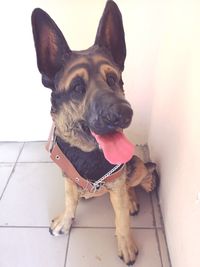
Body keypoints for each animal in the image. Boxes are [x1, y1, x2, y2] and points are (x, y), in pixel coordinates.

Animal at [31, 0, 157, 266]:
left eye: (113, 79)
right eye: (77, 88)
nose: (124, 113)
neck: (88, 154)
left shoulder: (117, 180)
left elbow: (122, 219)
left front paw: (126, 243)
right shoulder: (67, 177)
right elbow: (70, 200)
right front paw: (66, 220)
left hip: (135, 168)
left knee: (134, 182)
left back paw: (132, 198)